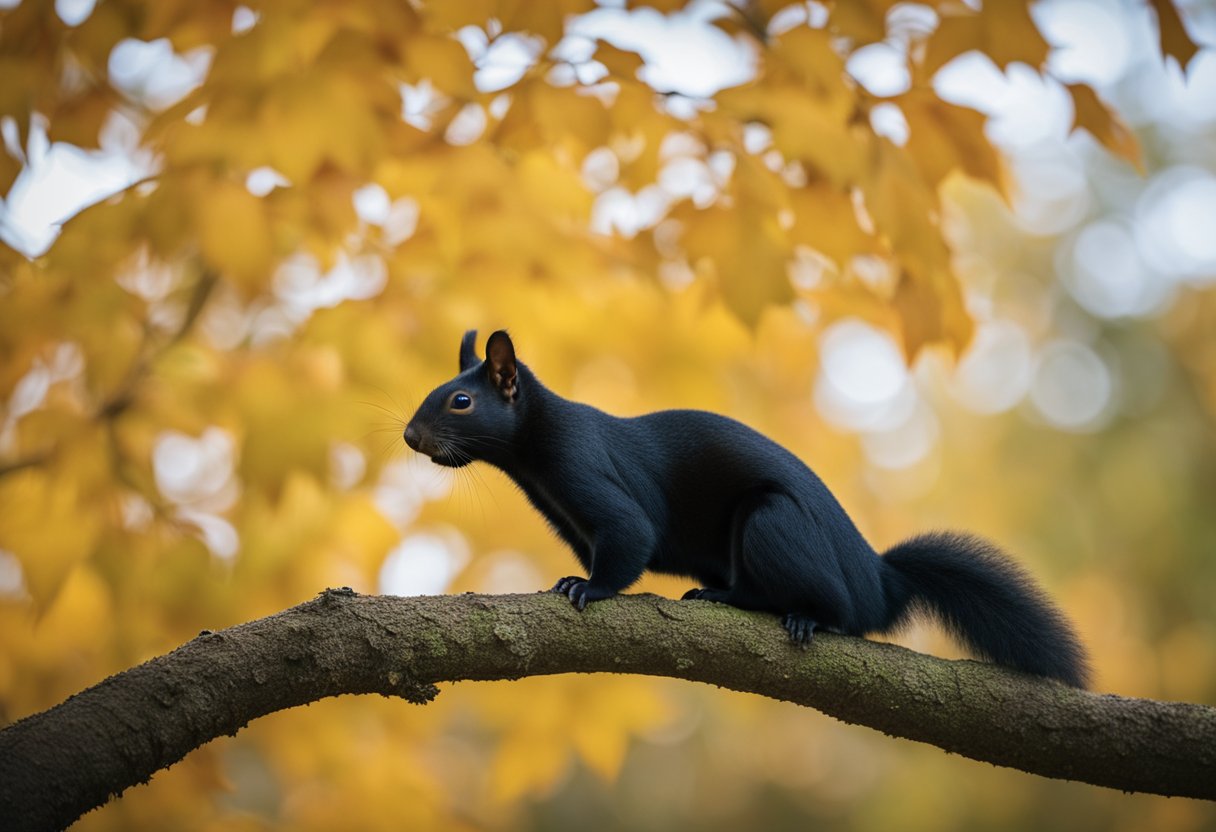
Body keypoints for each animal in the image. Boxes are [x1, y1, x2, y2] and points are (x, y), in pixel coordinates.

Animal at [401, 328, 1094, 686]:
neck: (533, 461)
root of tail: (881, 582)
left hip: (772, 524)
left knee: (839, 611)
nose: (410, 436)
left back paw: (799, 616)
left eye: (461, 402)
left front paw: (587, 589)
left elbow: (629, 543)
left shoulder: (591, 476)